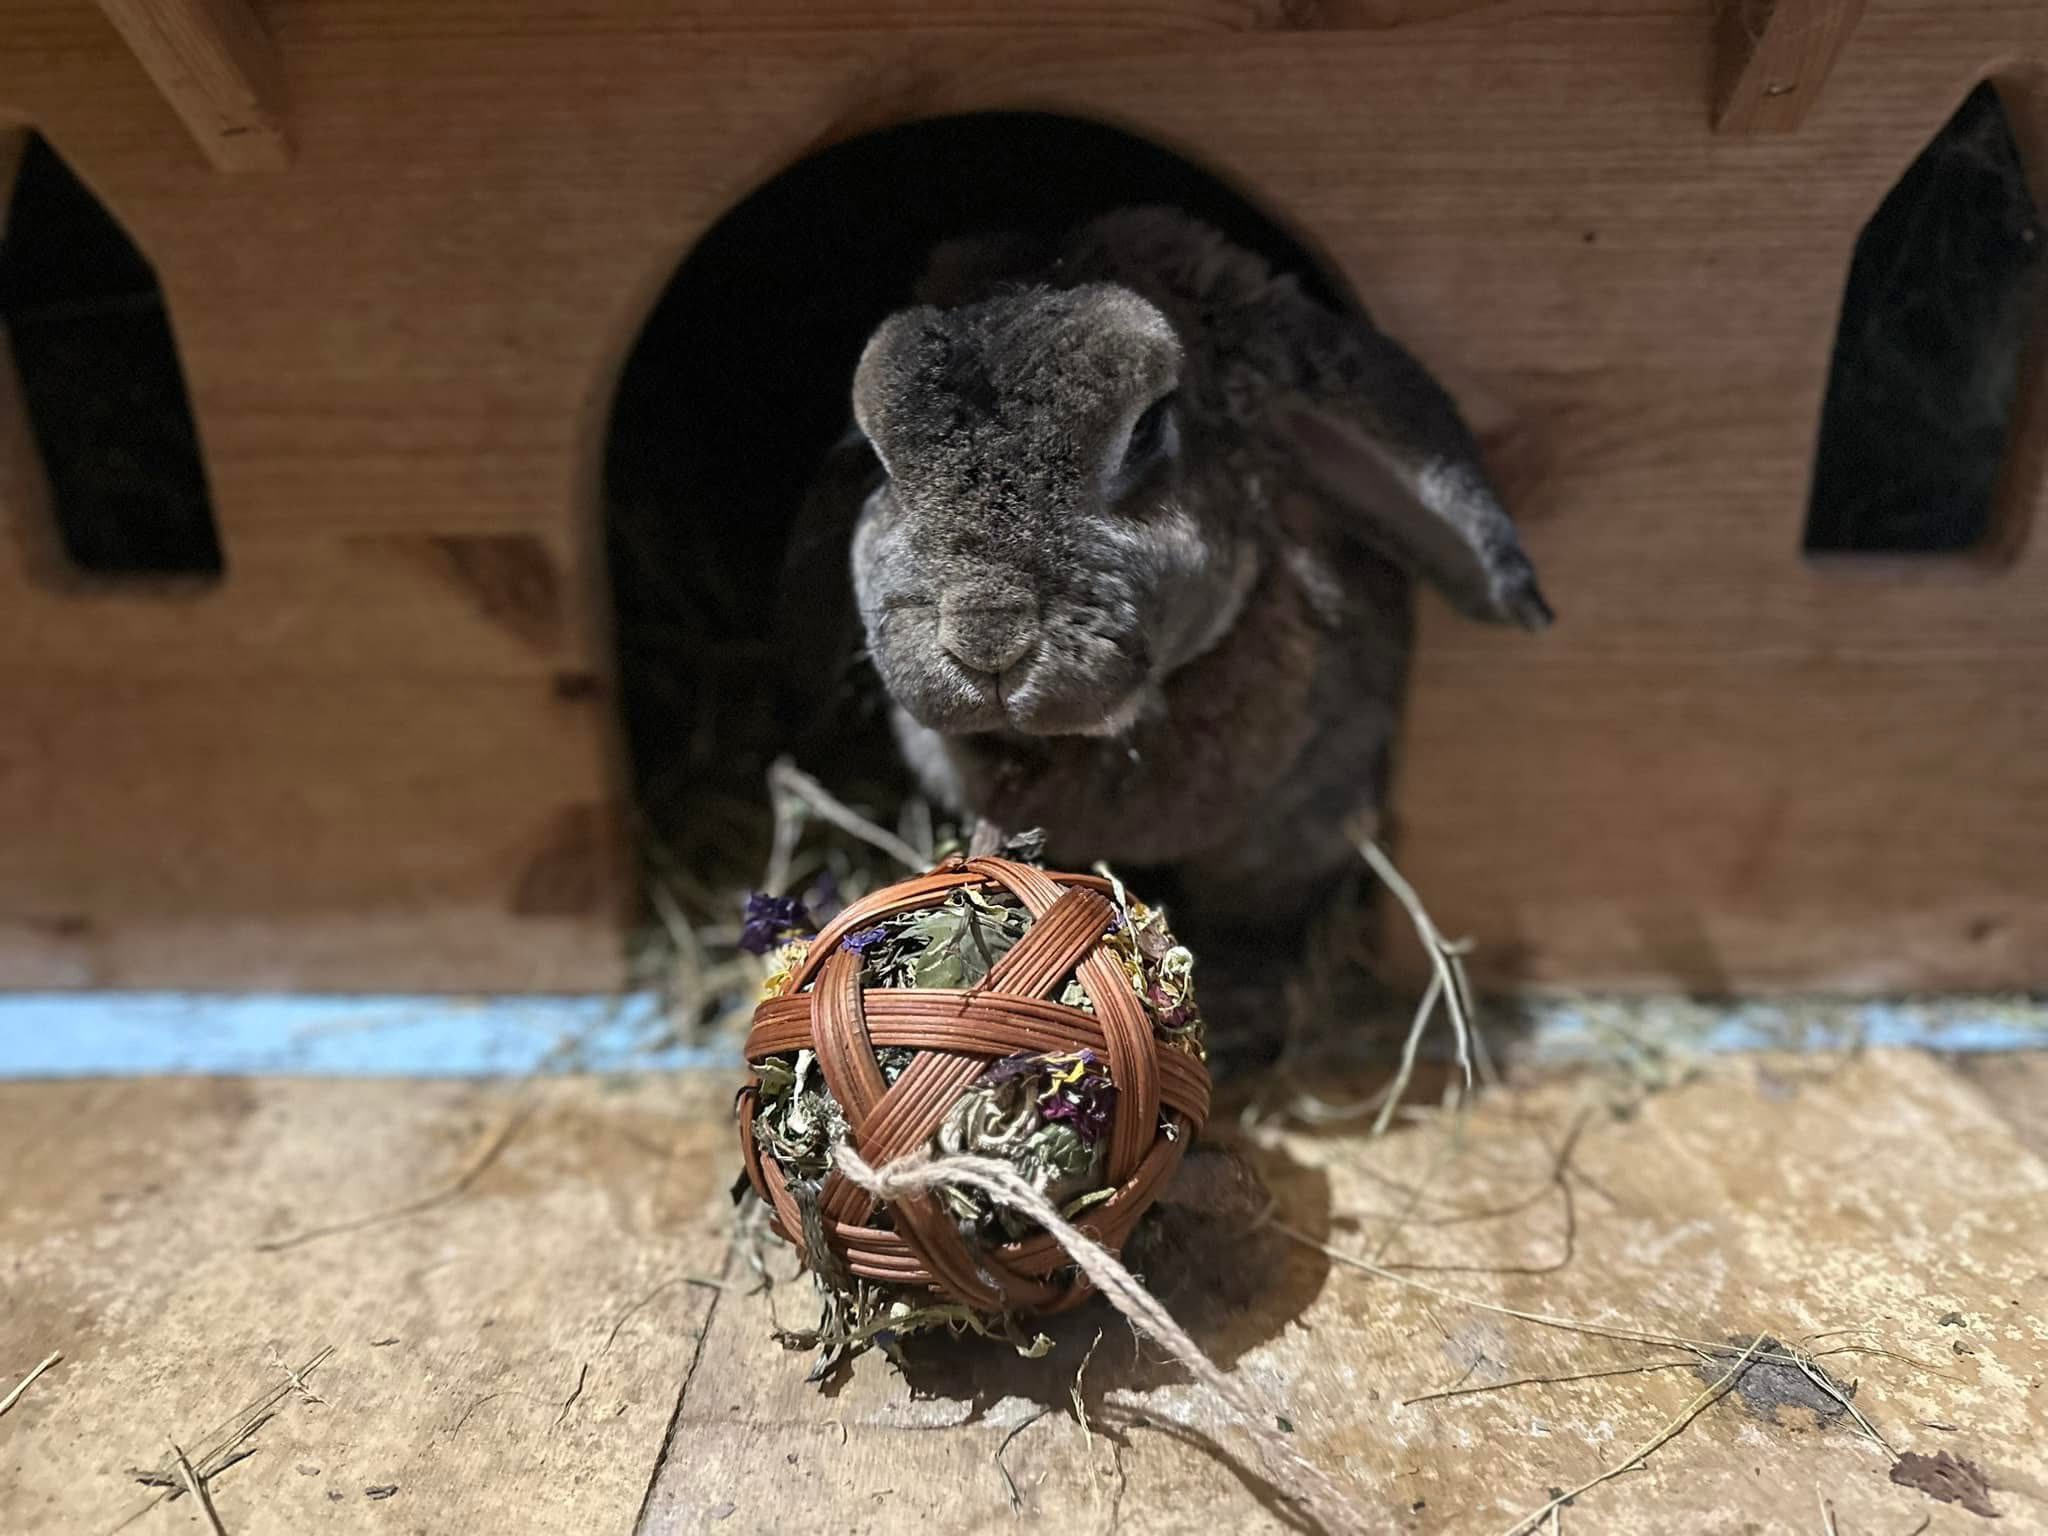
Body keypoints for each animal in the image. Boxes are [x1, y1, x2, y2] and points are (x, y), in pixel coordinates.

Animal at [781, 206, 1549, 1055]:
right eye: (879, 458)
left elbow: (1252, 920)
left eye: (1148, 429)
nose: (986, 638)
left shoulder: (1291, 836)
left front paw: (1242, 1016)